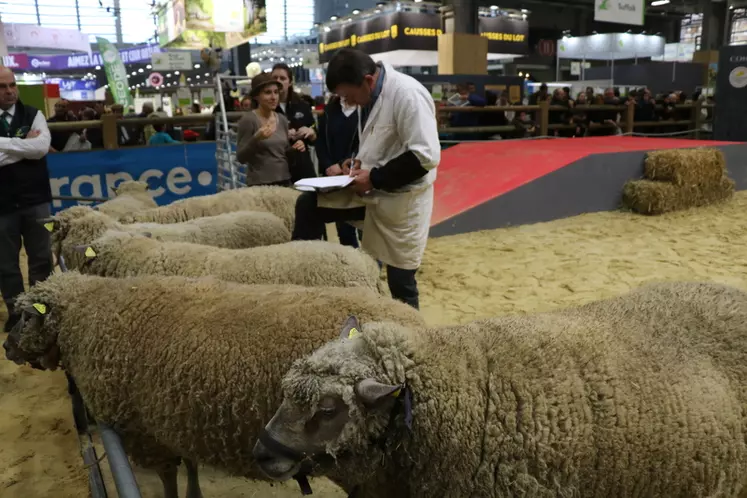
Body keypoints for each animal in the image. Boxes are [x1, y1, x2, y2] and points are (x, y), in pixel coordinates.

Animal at [1, 272, 426, 498]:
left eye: (24, 317)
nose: (6, 348)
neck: (89, 314)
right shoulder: (176, 417)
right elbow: (189, 463)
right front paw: (195, 492)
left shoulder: (144, 433)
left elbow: (168, 478)